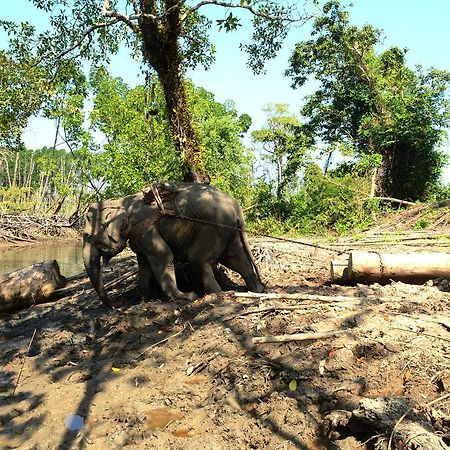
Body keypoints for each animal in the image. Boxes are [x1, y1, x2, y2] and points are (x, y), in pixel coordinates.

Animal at [81, 182, 264, 306]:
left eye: (87, 237)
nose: (117, 305)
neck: (120, 202)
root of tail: (237, 208)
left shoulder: (147, 228)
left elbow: (163, 255)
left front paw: (186, 297)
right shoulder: (139, 235)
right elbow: (143, 263)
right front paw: (143, 300)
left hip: (215, 229)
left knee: (199, 260)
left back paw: (214, 294)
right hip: (229, 231)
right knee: (235, 258)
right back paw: (257, 290)